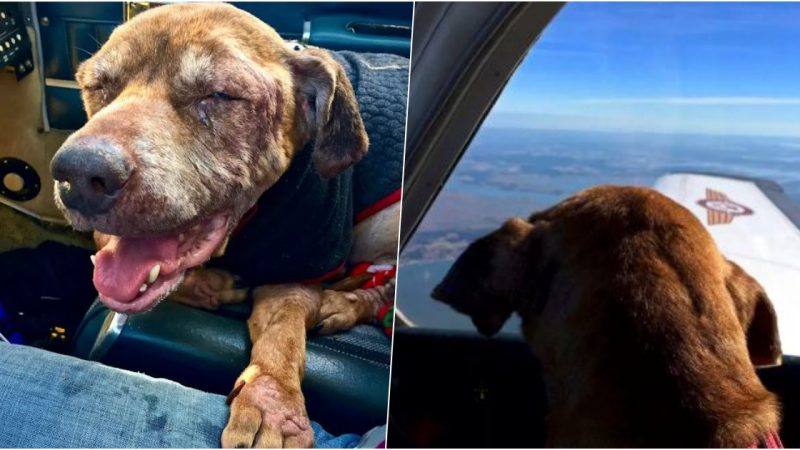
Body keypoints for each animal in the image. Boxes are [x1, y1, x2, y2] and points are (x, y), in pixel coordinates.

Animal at [49, 2, 400, 446]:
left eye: (219, 95)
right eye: (97, 85)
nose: (79, 175)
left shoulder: (299, 268)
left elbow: (283, 338)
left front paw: (274, 401)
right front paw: (212, 285)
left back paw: (344, 302)